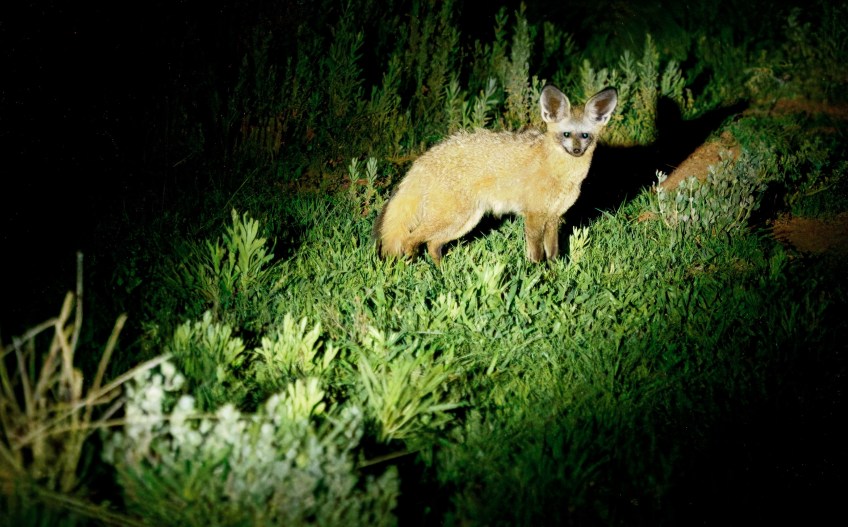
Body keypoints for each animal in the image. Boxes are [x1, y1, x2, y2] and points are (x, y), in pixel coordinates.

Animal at [373, 85, 618, 264]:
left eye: (585, 136)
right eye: (566, 134)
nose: (576, 151)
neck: (560, 174)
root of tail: (424, 158)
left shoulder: (553, 217)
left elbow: (553, 254)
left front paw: (554, 274)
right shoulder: (534, 216)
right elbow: (536, 255)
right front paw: (538, 277)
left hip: (464, 222)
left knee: (433, 244)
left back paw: (441, 272)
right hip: (452, 219)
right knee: (410, 240)